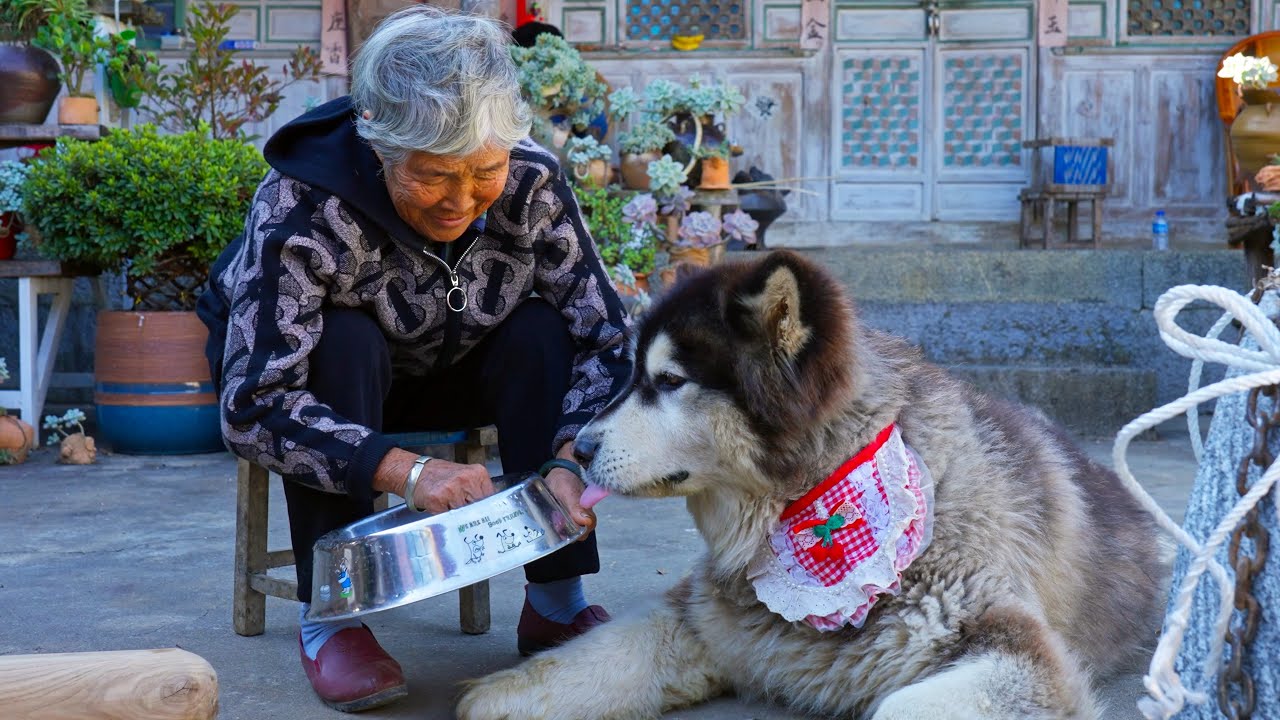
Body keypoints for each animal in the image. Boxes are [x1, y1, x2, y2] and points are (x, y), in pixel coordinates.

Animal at [455, 249, 1167, 712]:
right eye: (630, 374)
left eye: (669, 381)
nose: (578, 447)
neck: (814, 503)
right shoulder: (702, 623)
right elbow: (545, 676)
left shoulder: (1014, 649)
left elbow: (898, 706)